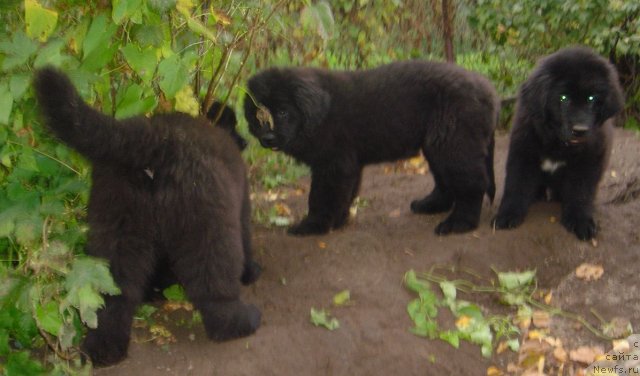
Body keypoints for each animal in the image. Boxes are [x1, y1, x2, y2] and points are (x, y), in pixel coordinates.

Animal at [245, 60, 500, 236]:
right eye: (258, 115)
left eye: (282, 112)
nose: (267, 138)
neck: (317, 115)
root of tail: (488, 91)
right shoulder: (348, 164)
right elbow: (344, 194)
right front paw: (339, 220)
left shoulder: (333, 165)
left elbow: (320, 197)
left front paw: (313, 226)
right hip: (439, 144)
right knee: (446, 181)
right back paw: (430, 205)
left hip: (455, 144)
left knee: (472, 183)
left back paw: (459, 223)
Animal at [492, 47, 624, 239]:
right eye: (563, 97)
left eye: (592, 98)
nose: (580, 130)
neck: (558, 142)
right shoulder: (523, 152)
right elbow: (516, 184)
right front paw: (507, 215)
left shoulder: (588, 160)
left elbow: (581, 192)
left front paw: (581, 221)